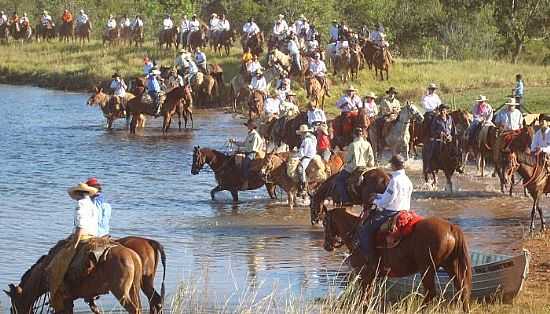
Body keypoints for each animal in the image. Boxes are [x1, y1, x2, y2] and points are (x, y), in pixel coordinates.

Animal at [4, 242, 142, 312]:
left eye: (14, 303)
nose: (11, 311)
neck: (44, 273)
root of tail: (133, 255)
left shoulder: (62, 300)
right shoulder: (69, 300)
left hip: (121, 292)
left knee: (133, 309)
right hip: (133, 290)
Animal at [324, 206, 474, 312]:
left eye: (324, 223)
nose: (327, 245)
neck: (355, 233)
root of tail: (451, 227)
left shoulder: (364, 274)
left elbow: (364, 297)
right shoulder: (371, 276)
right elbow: (367, 297)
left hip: (427, 269)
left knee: (431, 293)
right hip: (451, 265)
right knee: (462, 290)